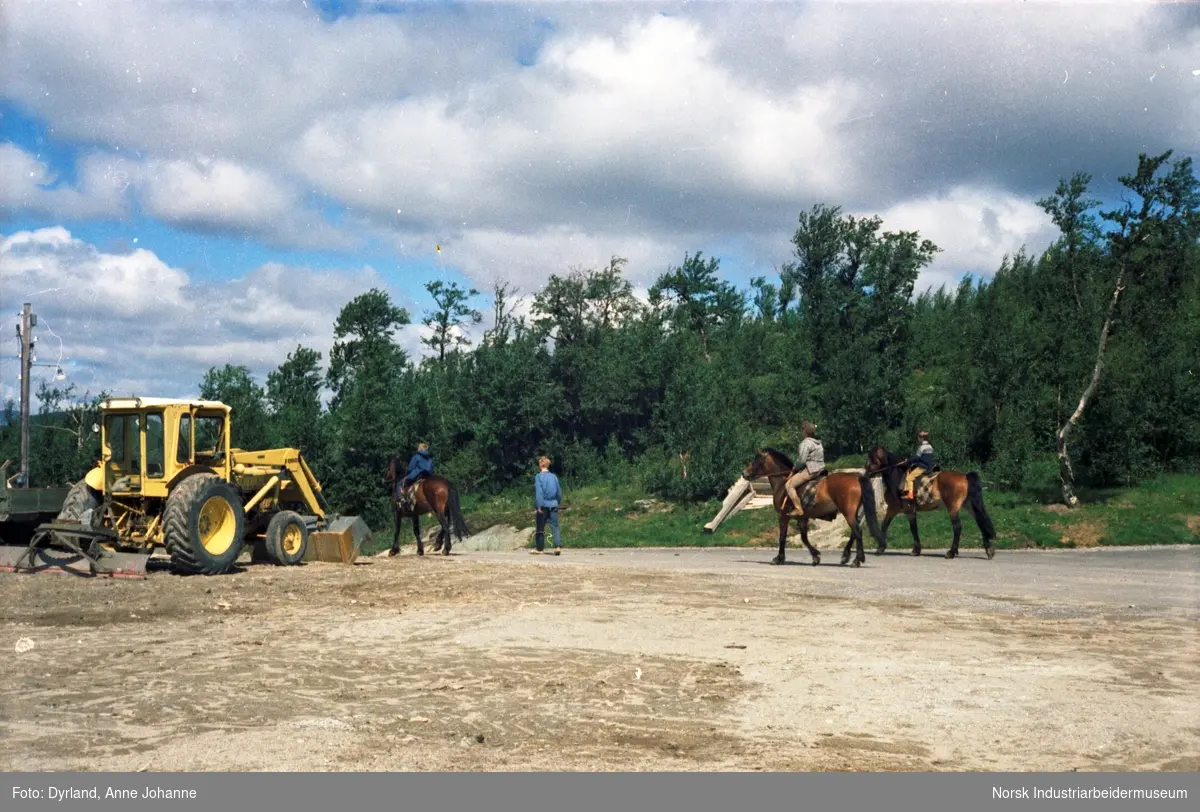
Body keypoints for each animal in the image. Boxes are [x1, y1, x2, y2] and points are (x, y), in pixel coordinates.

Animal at [739, 446, 873, 566]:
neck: (783, 482)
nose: (744, 473)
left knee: (857, 531)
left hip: (848, 513)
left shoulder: (783, 516)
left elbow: (782, 537)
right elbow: (804, 538)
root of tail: (856, 479)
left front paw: (778, 558)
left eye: (756, 460)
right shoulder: (802, 518)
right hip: (852, 513)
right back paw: (847, 557)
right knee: (854, 533)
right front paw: (815, 556)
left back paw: (856, 560)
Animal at [864, 446, 993, 561]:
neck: (896, 477)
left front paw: (880, 548)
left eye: (872, 458)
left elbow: (888, 526)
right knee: (980, 522)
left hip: (953, 508)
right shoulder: (905, 511)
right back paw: (989, 550)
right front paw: (916, 550)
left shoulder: (896, 509)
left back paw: (951, 552)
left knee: (957, 527)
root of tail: (965, 476)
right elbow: (910, 528)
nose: (865, 471)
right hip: (969, 506)